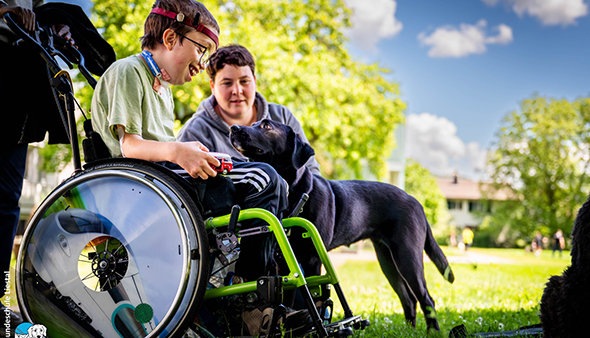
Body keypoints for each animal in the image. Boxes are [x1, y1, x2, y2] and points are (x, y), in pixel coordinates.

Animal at [231, 118, 458, 330]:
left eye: (266, 126)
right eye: (254, 123)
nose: (234, 128)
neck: (293, 191)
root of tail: (416, 201)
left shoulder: (311, 259)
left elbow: (312, 297)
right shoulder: (283, 261)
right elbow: (287, 295)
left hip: (407, 256)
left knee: (426, 298)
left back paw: (432, 331)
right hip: (387, 260)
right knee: (408, 298)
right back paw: (410, 330)